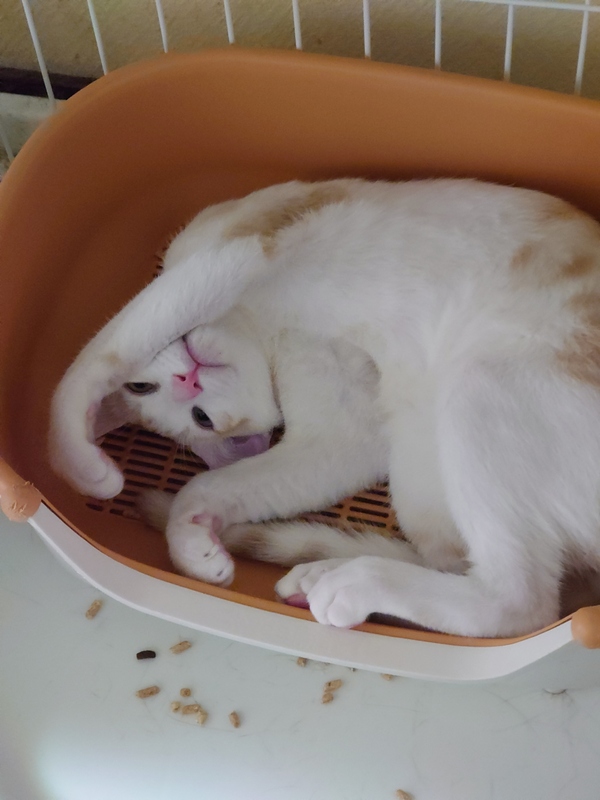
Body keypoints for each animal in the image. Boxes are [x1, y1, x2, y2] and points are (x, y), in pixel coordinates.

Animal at [50, 177, 600, 638]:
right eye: (199, 420)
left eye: (141, 386)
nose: (189, 380)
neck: (263, 327)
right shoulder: (345, 431)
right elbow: (209, 486)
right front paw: (190, 539)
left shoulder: (234, 248)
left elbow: (107, 346)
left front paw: (75, 454)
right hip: (423, 475)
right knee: (464, 567)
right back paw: (324, 576)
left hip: (480, 382)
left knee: (522, 602)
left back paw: (354, 583)